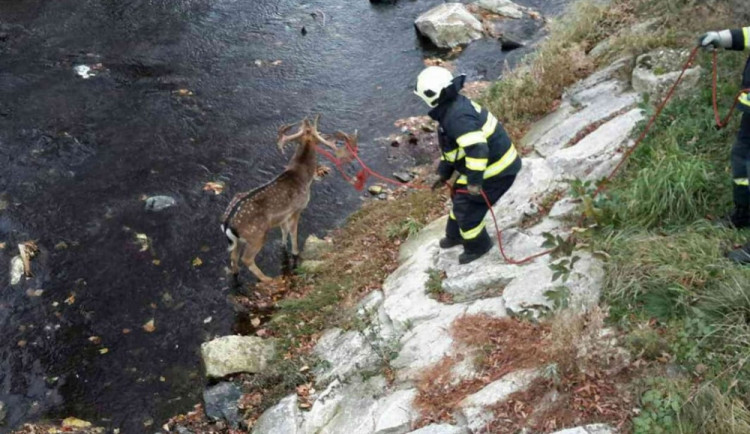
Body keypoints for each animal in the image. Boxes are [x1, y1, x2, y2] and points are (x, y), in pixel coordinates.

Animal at [222, 116, 356, 284]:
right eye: (319, 133)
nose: (326, 136)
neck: (303, 177)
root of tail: (227, 223)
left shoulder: (283, 216)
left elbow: (284, 230)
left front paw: (283, 245)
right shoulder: (297, 208)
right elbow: (293, 231)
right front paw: (296, 252)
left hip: (239, 240)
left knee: (233, 256)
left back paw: (236, 273)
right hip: (256, 234)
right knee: (246, 259)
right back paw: (268, 279)